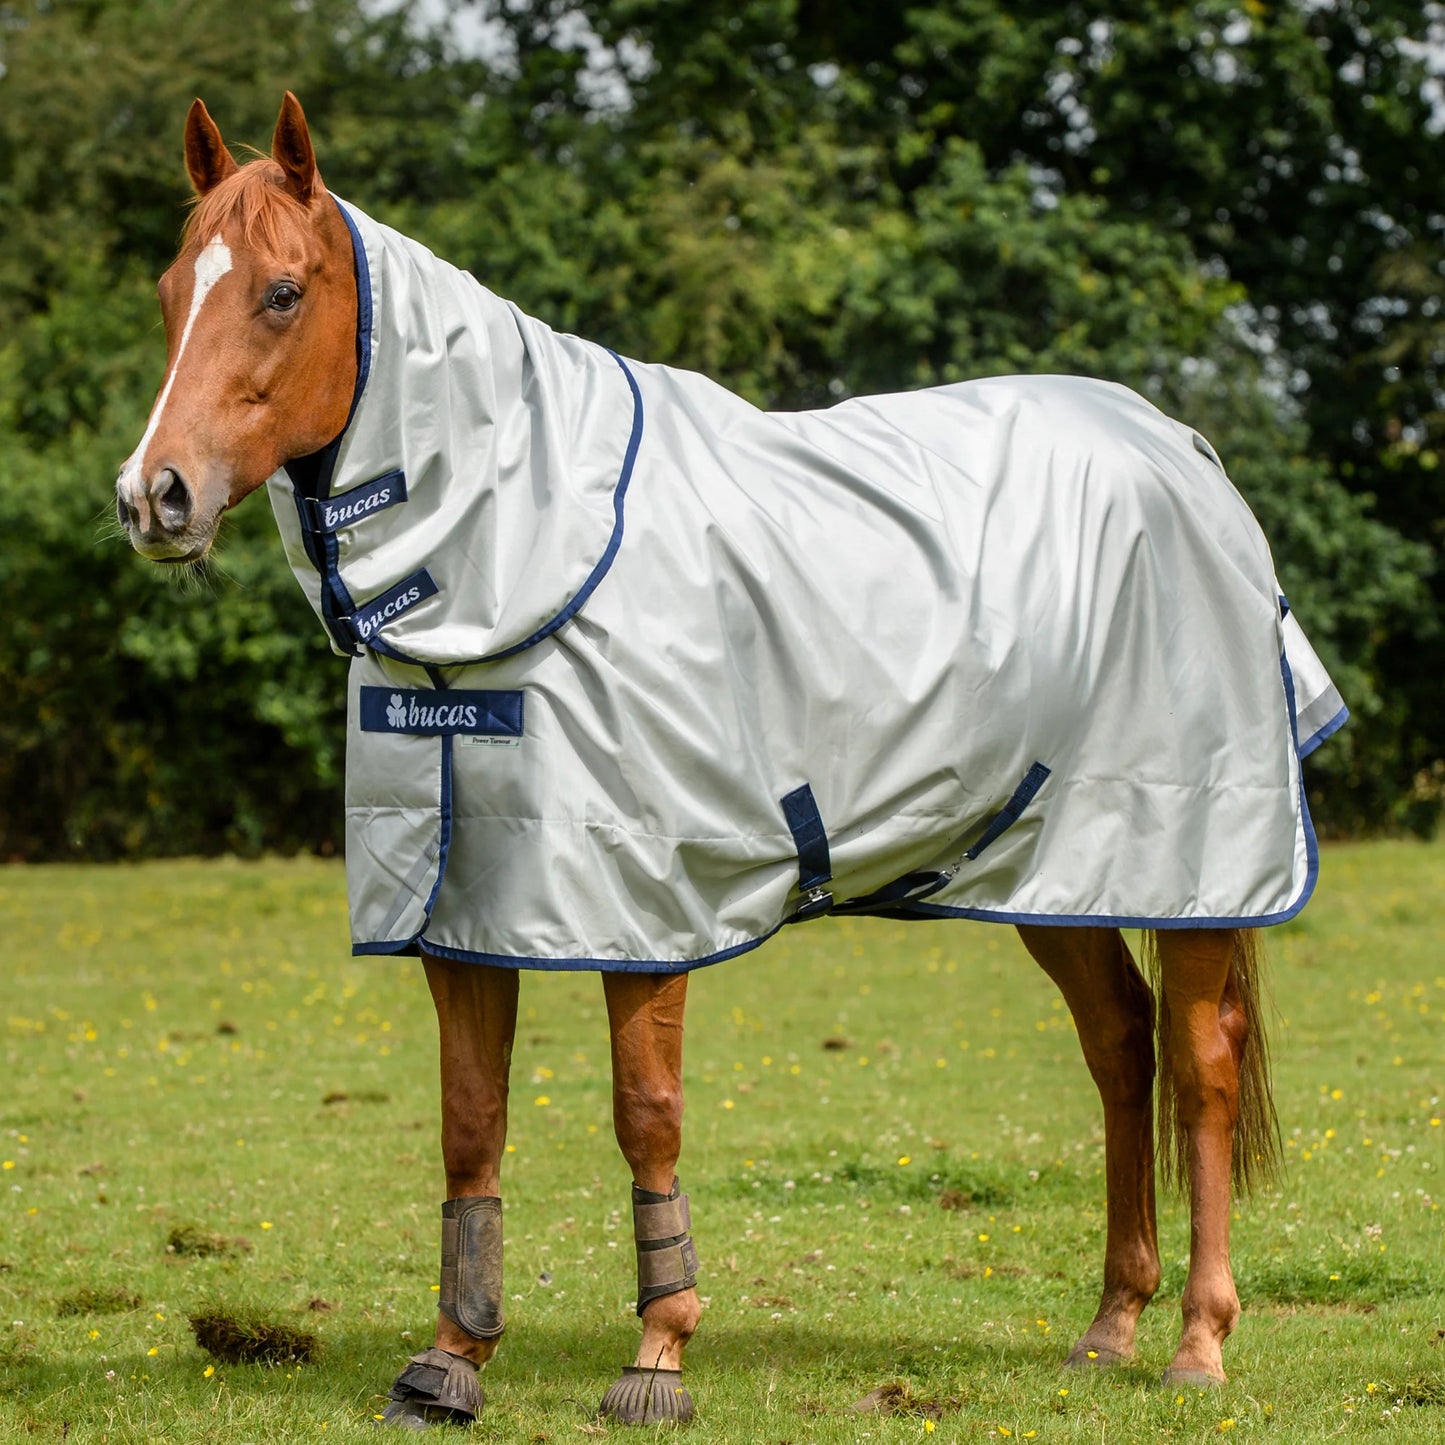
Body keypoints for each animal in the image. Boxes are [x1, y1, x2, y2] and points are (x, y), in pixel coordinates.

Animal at [115, 93, 1346, 1429]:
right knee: (1120, 1045)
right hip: (1059, 865)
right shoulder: (464, 908)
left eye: (282, 292)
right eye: (173, 286)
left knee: (1200, 1065)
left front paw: (656, 1352)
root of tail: (1180, 450)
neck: (523, 547)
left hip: (1195, 861)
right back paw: (1109, 1323)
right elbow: (469, 1120)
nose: (153, 496)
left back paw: (1195, 1341)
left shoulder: (647, 904)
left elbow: (644, 1113)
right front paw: (449, 1359)